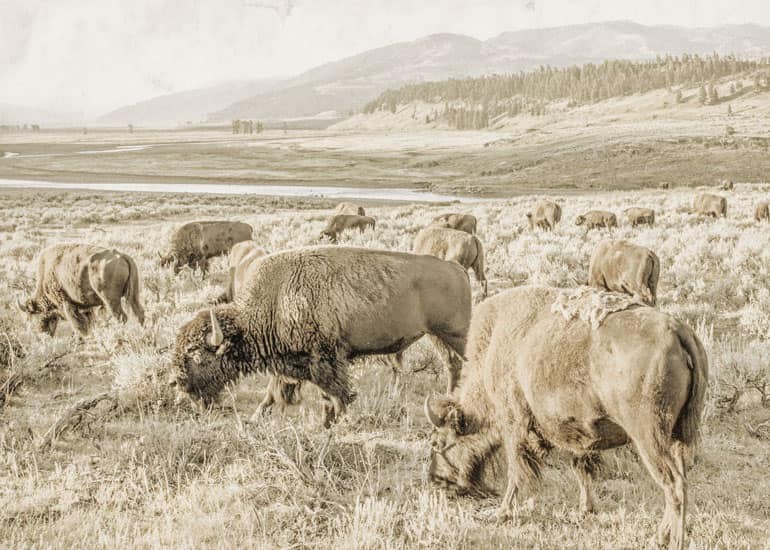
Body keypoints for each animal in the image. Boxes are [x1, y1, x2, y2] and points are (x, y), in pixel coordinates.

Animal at [16, 245, 146, 338]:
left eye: (33, 316)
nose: (42, 334)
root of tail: (122, 255)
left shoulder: (66, 303)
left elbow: (78, 324)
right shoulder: (85, 308)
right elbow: (88, 322)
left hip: (110, 299)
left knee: (121, 317)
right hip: (133, 295)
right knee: (139, 312)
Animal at [170, 248, 468, 430]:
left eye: (196, 353)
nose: (177, 383)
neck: (273, 302)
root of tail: (455, 267)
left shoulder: (325, 360)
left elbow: (337, 394)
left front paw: (338, 422)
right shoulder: (294, 364)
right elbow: (280, 393)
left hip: (455, 334)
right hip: (438, 336)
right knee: (452, 365)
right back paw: (450, 397)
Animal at [424, 286, 704, 550]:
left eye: (438, 444)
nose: (436, 479)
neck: (494, 349)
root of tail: (677, 330)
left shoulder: (513, 425)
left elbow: (516, 472)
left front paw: (502, 513)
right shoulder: (576, 435)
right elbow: (582, 469)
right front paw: (586, 509)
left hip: (649, 437)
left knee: (673, 485)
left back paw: (672, 541)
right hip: (678, 436)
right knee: (679, 481)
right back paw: (661, 537)